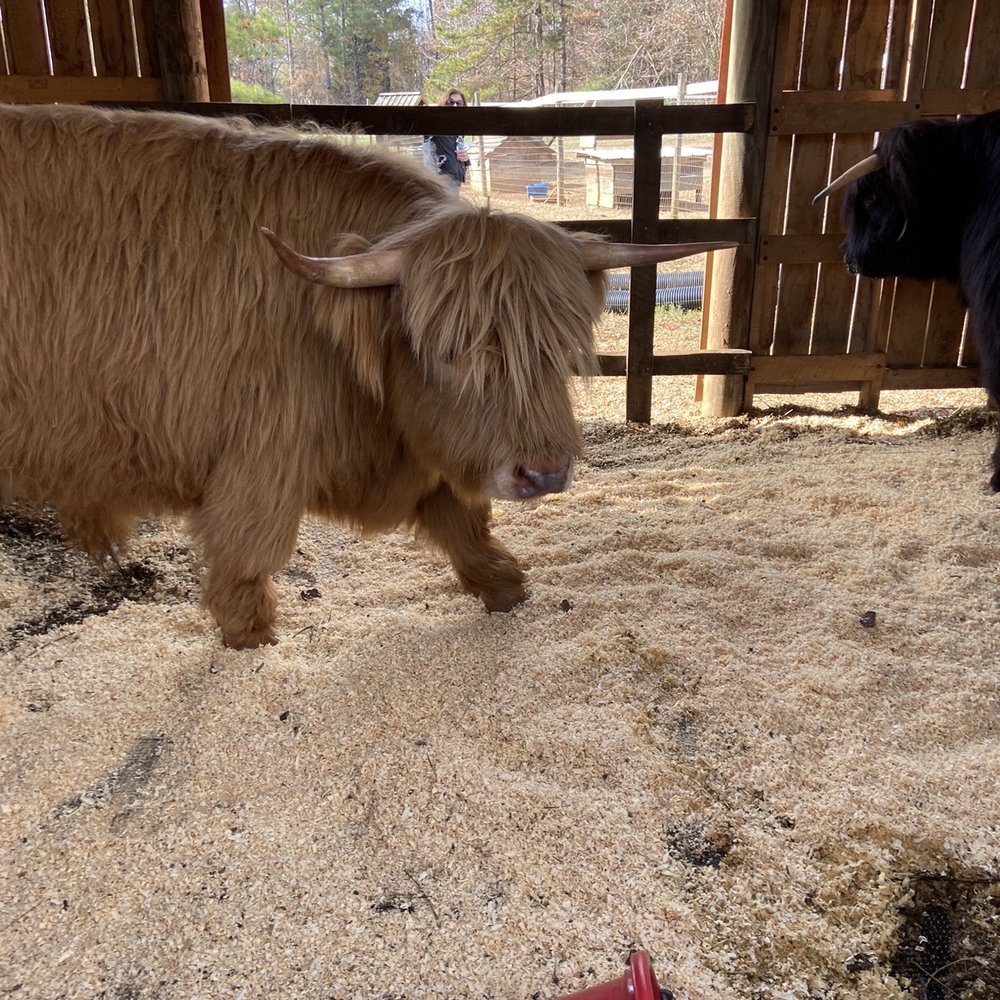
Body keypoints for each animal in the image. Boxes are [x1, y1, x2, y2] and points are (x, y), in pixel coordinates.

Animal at [0, 103, 733, 648]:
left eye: (561, 347)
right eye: (454, 350)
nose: (545, 473)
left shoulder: (423, 448)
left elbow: (467, 528)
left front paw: (506, 586)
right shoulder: (259, 457)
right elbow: (245, 564)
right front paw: (252, 640)